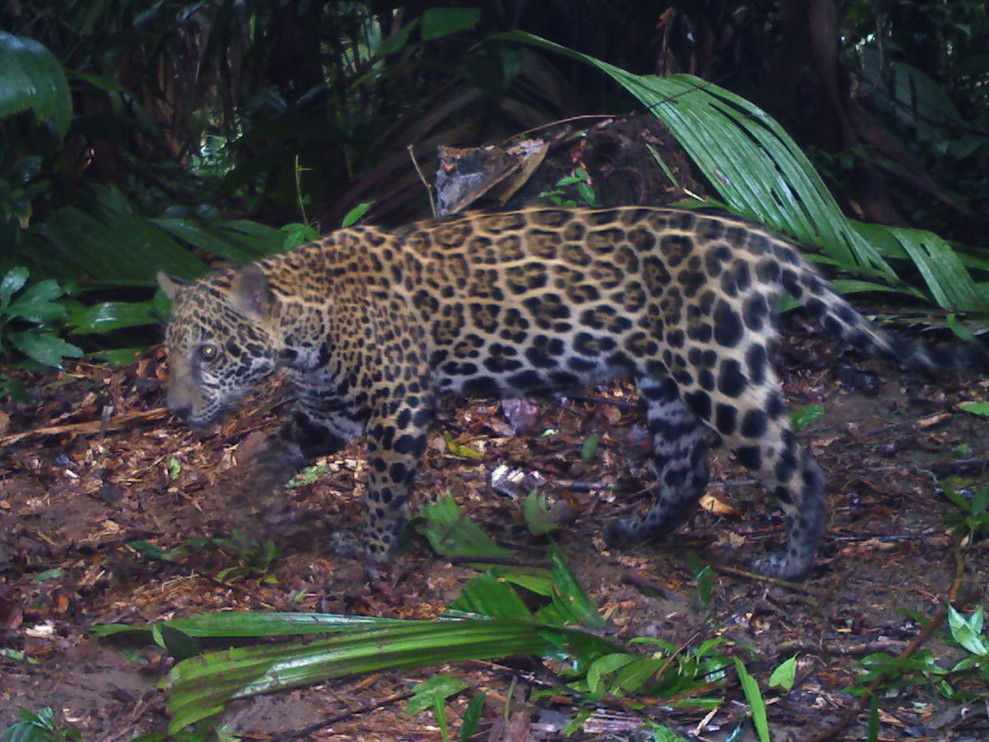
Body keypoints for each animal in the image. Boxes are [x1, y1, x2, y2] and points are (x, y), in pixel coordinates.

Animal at [157, 206, 984, 581]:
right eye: (167, 354)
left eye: (209, 352)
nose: (173, 409)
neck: (303, 319)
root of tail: (760, 241)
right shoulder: (327, 411)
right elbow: (272, 451)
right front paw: (244, 503)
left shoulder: (398, 407)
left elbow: (381, 490)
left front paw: (370, 551)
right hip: (665, 379)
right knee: (688, 468)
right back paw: (639, 531)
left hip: (720, 368)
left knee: (795, 464)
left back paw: (792, 560)